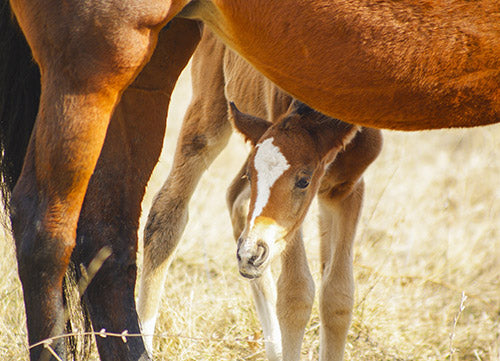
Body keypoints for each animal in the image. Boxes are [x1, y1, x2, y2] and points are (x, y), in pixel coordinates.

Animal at [137, 28, 378, 360]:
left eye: (304, 181)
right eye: (252, 176)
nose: (252, 253)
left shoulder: (346, 189)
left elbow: (338, 297)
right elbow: (296, 293)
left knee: (235, 200)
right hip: (211, 107)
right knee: (168, 210)